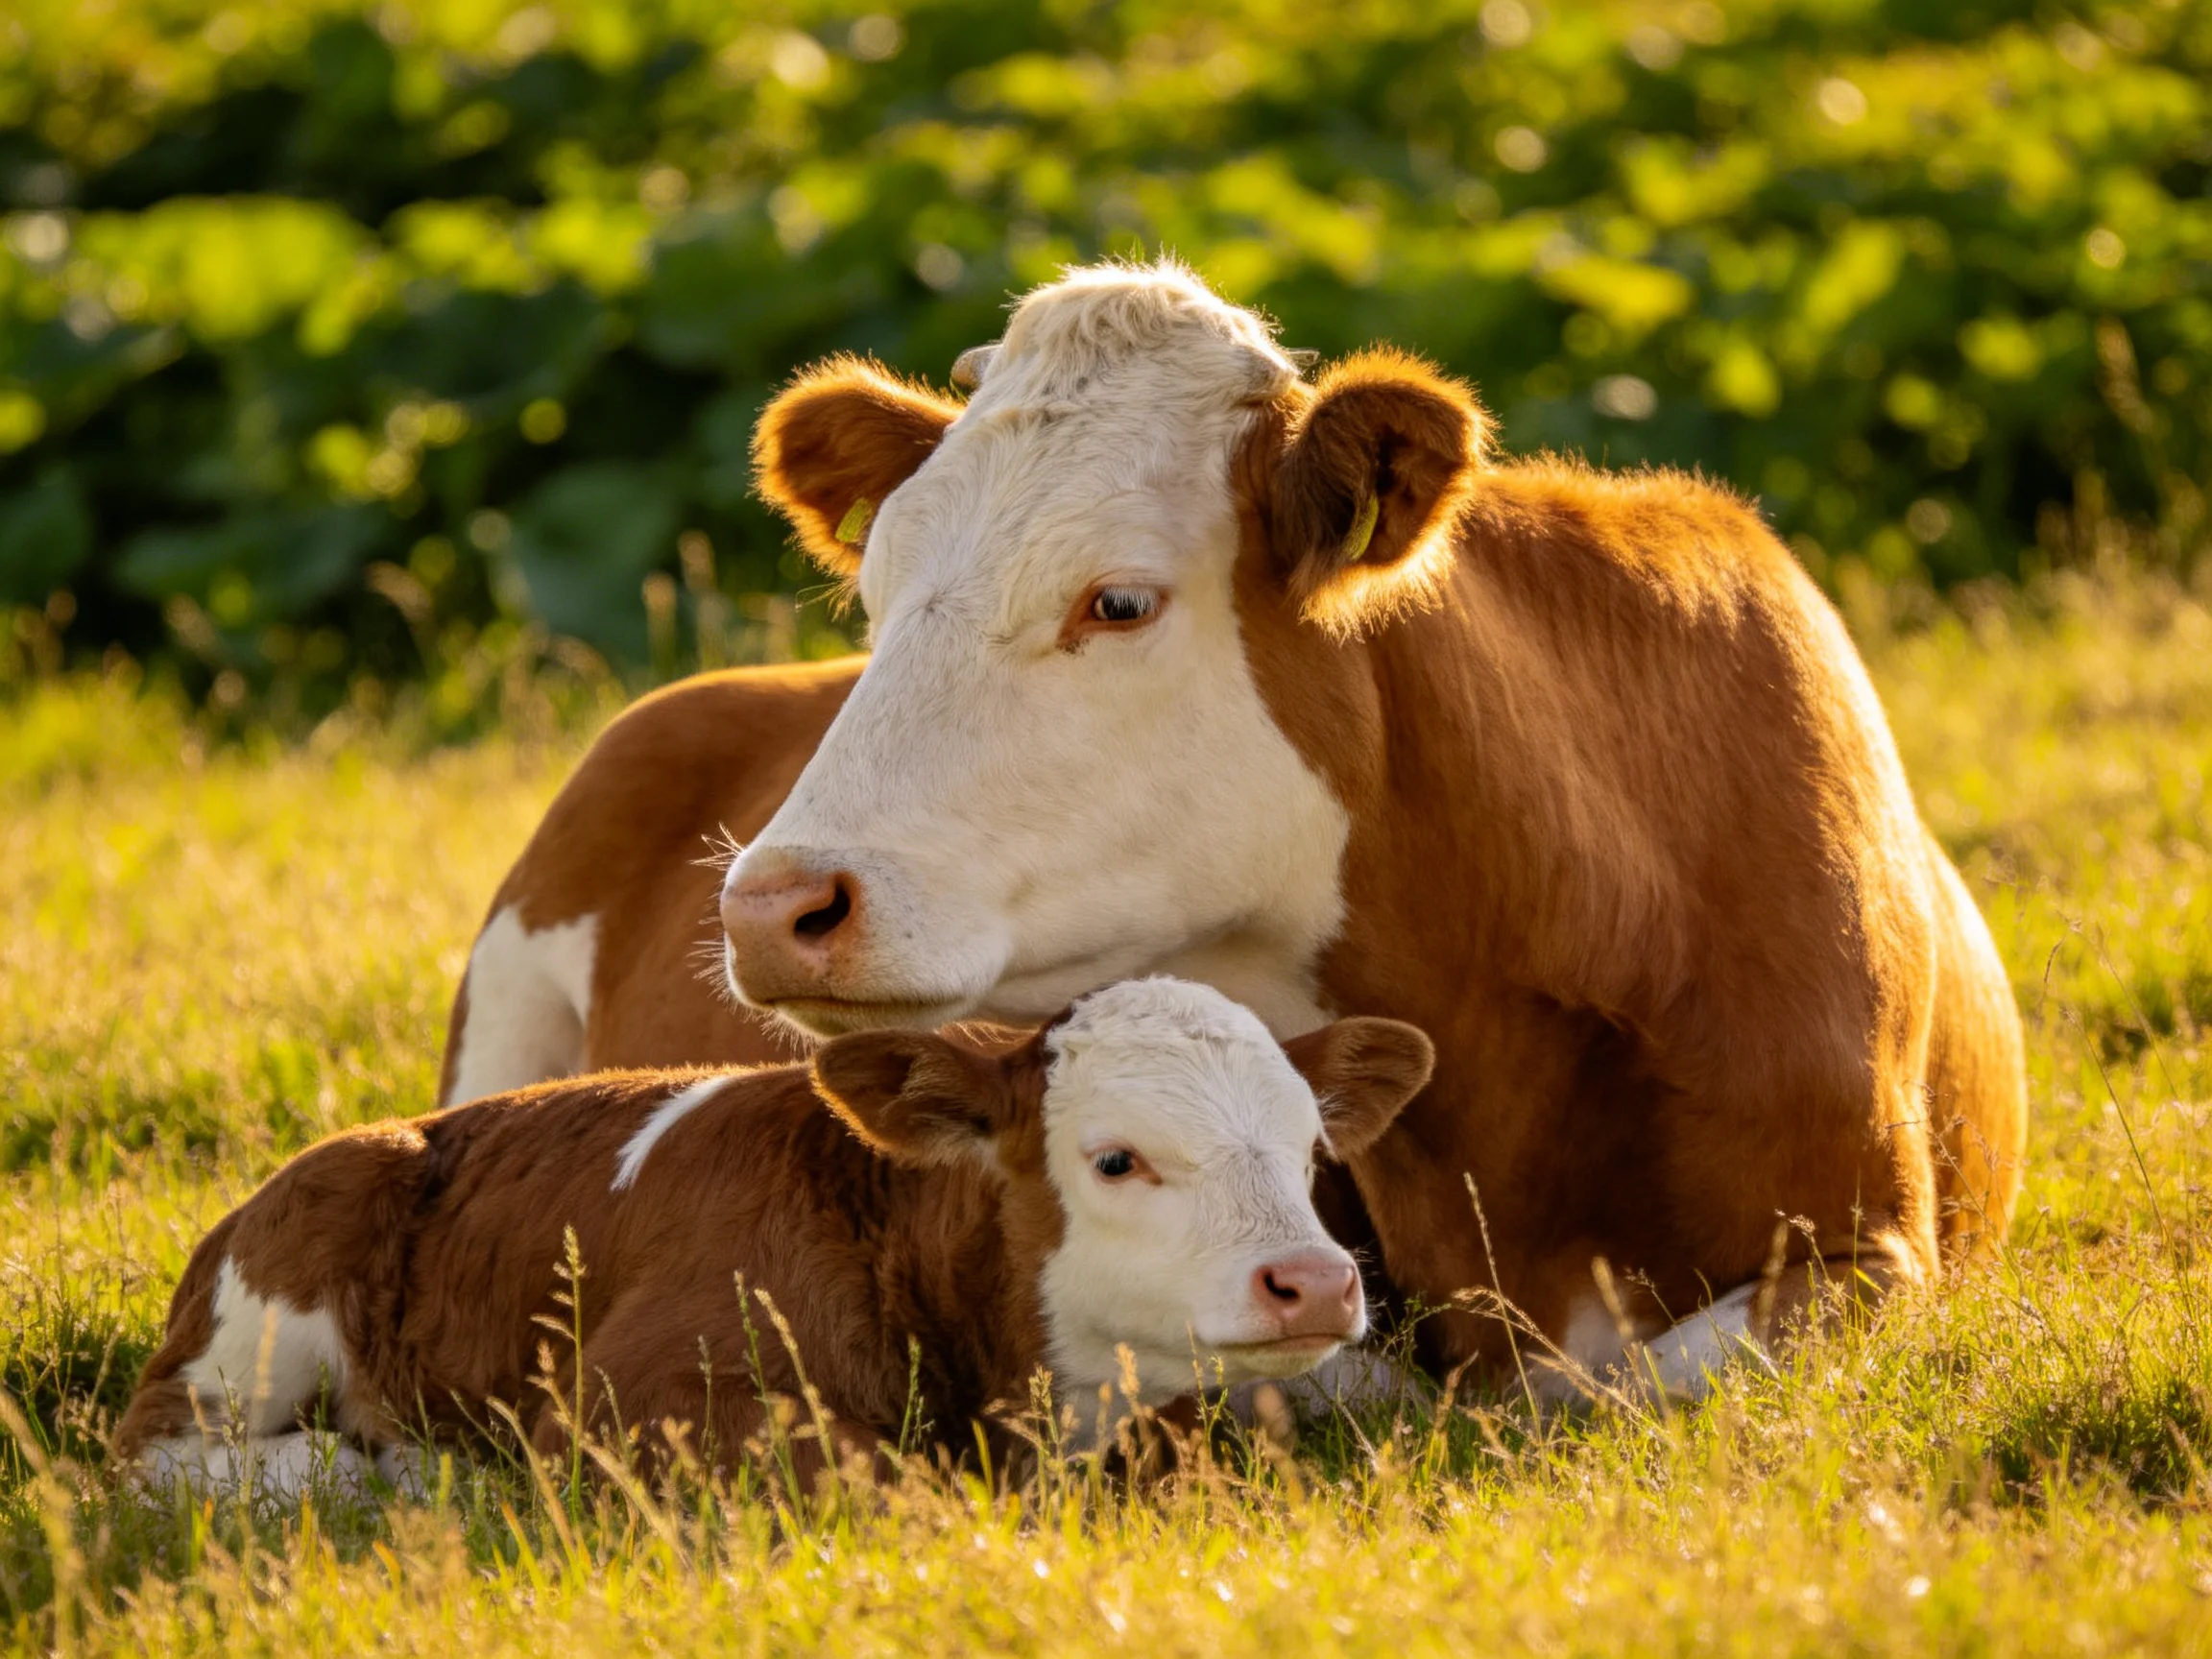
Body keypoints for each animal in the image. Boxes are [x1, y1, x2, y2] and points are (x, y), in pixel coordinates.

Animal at [120, 978, 1434, 1492]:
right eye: (1116, 1158)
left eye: (1308, 1152)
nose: (1314, 1283)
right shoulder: (627, 1399)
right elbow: (872, 1469)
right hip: (267, 1306)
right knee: (157, 1454)